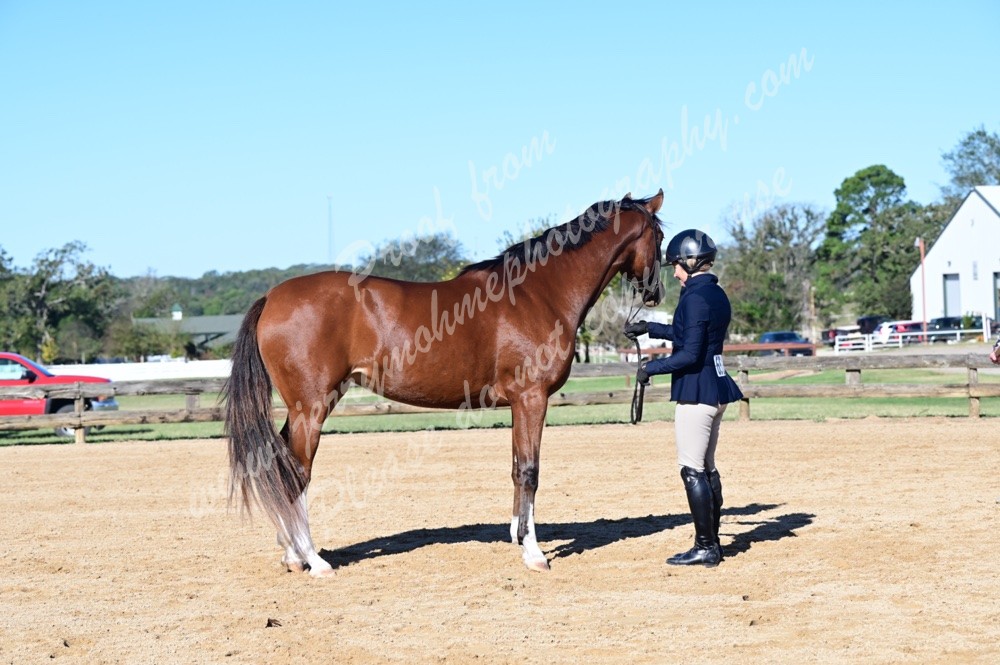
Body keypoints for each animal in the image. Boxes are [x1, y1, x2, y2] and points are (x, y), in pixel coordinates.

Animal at [224, 190, 665, 577]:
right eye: (659, 237)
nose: (657, 292)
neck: (538, 294)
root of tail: (272, 297)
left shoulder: (518, 404)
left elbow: (516, 467)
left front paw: (516, 536)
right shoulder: (531, 398)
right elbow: (530, 471)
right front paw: (534, 553)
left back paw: (292, 555)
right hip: (311, 408)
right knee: (297, 474)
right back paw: (314, 561)